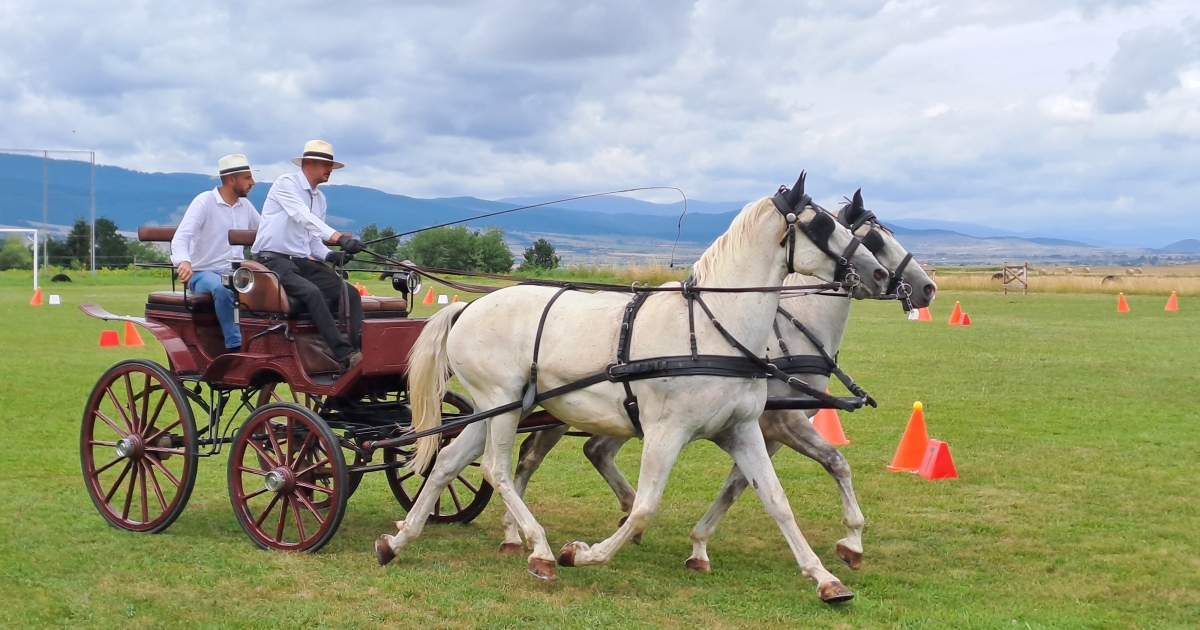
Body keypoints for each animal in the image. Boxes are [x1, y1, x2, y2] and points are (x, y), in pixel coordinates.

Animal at [374, 174, 892, 602]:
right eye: (822, 225)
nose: (882, 275)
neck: (712, 330)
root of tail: (466, 308)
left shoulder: (744, 429)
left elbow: (777, 501)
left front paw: (826, 578)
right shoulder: (667, 433)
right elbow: (644, 507)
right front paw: (581, 554)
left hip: (498, 409)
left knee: (447, 462)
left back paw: (399, 540)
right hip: (501, 405)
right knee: (497, 469)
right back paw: (539, 550)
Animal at [506, 187, 936, 568]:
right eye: (875, 239)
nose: (926, 287)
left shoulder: (757, 426)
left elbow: (744, 484)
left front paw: (699, 544)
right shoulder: (782, 421)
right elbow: (834, 462)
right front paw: (852, 541)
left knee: (588, 451)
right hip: (557, 411)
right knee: (529, 458)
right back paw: (515, 533)